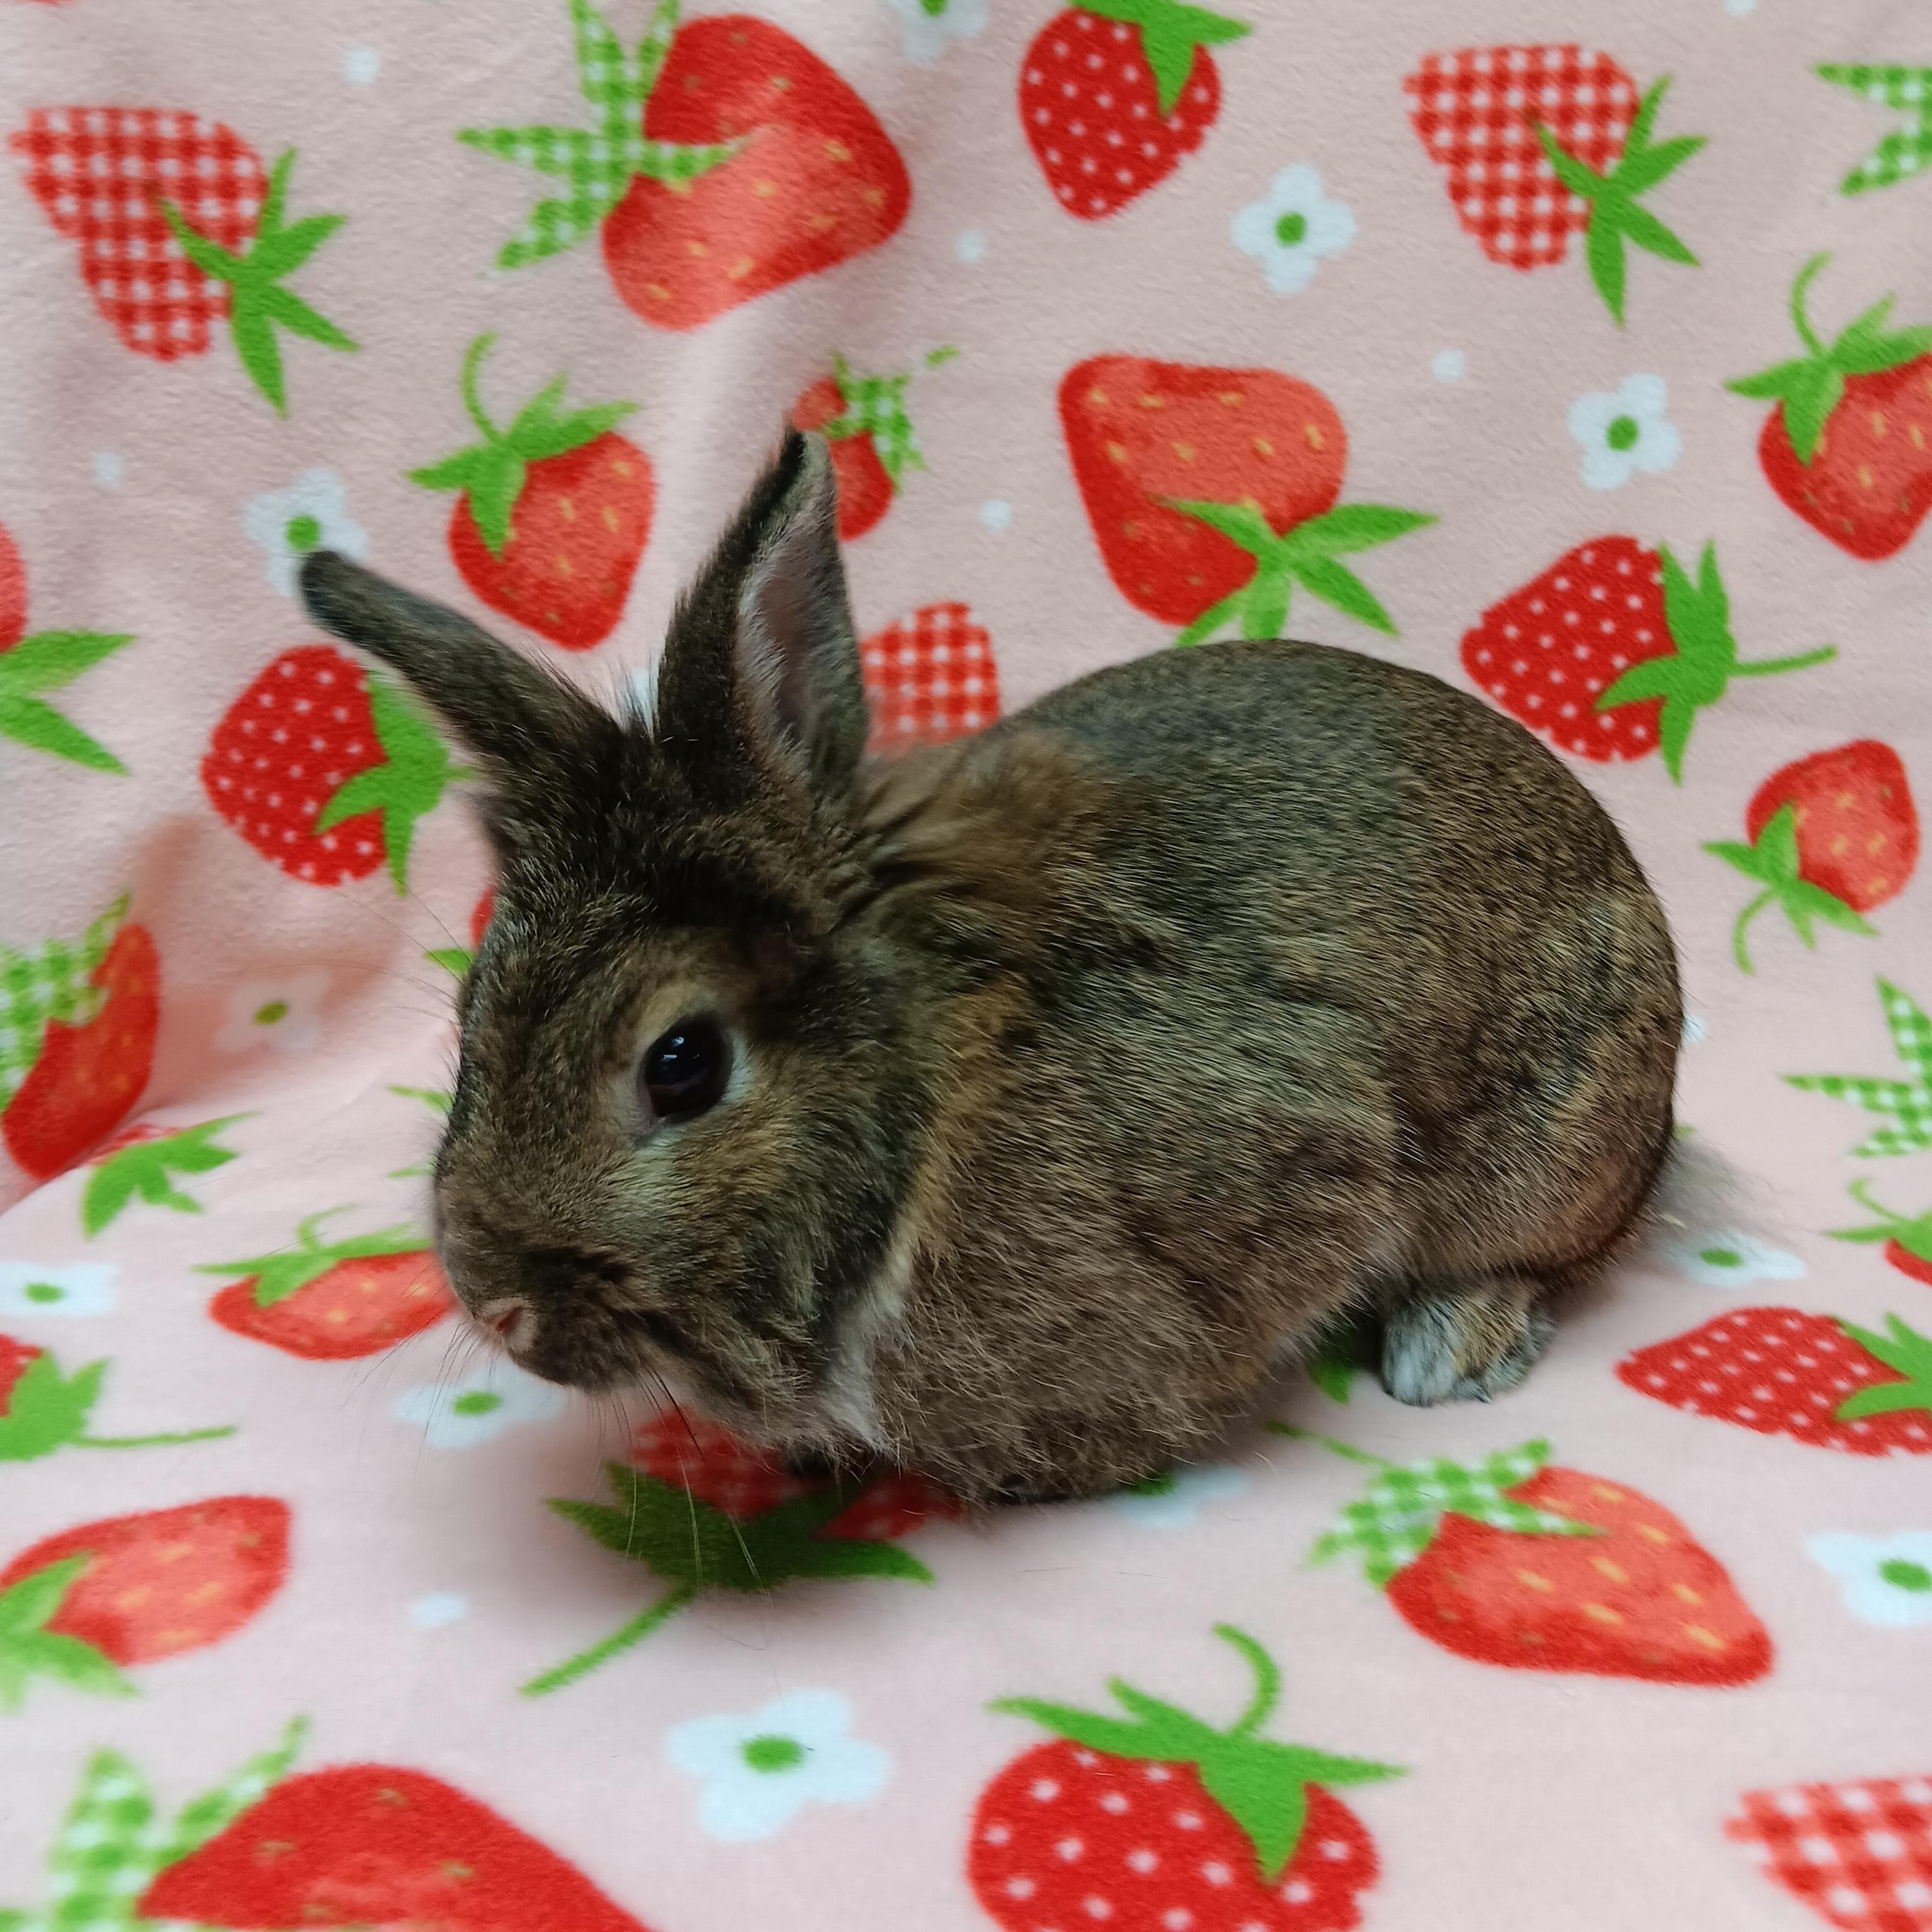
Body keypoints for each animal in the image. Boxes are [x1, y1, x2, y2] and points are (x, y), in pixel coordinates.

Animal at [298, 425, 1681, 1506]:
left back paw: (1452, 1348)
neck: (924, 1095)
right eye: (472, 1014)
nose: (496, 1303)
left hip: (1546, 1149)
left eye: (682, 1064)